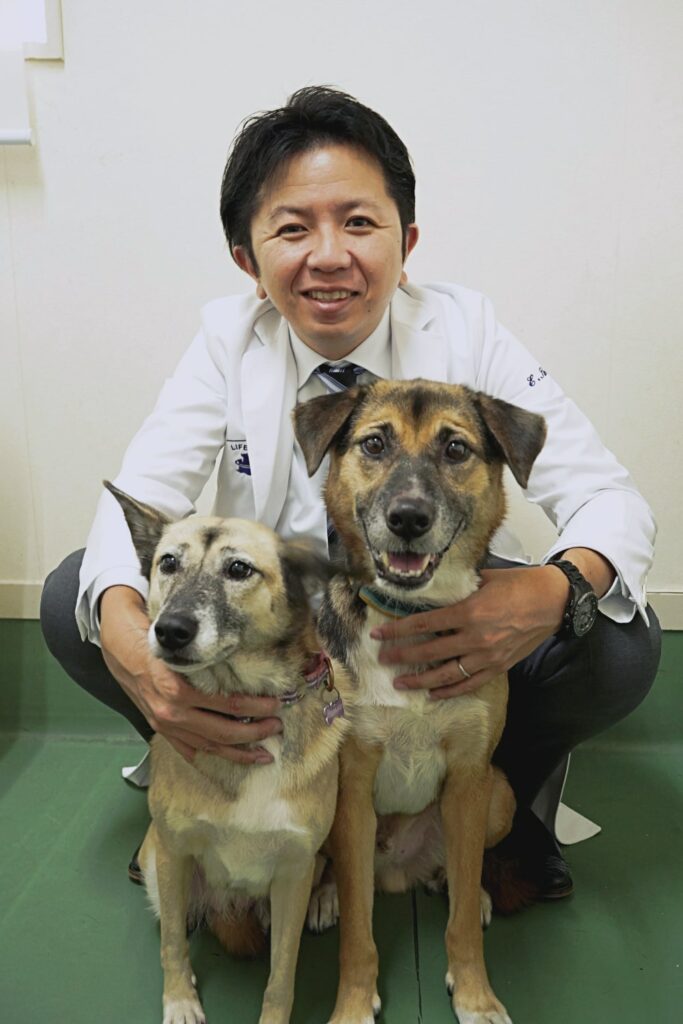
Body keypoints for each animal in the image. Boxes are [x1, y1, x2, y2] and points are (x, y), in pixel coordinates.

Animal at [105, 482, 351, 1024]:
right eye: (168, 562)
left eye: (239, 569)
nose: (170, 630)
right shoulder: (174, 853)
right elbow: (172, 945)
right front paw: (180, 1000)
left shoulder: (293, 871)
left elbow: (282, 976)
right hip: (158, 863)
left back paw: (326, 900)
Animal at [293, 379, 546, 1024]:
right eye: (374, 443)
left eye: (455, 448)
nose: (408, 517)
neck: (410, 617)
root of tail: (397, 868)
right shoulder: (353, 782)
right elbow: (359, 934)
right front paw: (353, 1005)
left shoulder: (470, 774)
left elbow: (462, 928)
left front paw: (477, 996)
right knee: (341, 875)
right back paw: (323, 897)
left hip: (500, 796)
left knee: (462, 869)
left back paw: (465, 888)